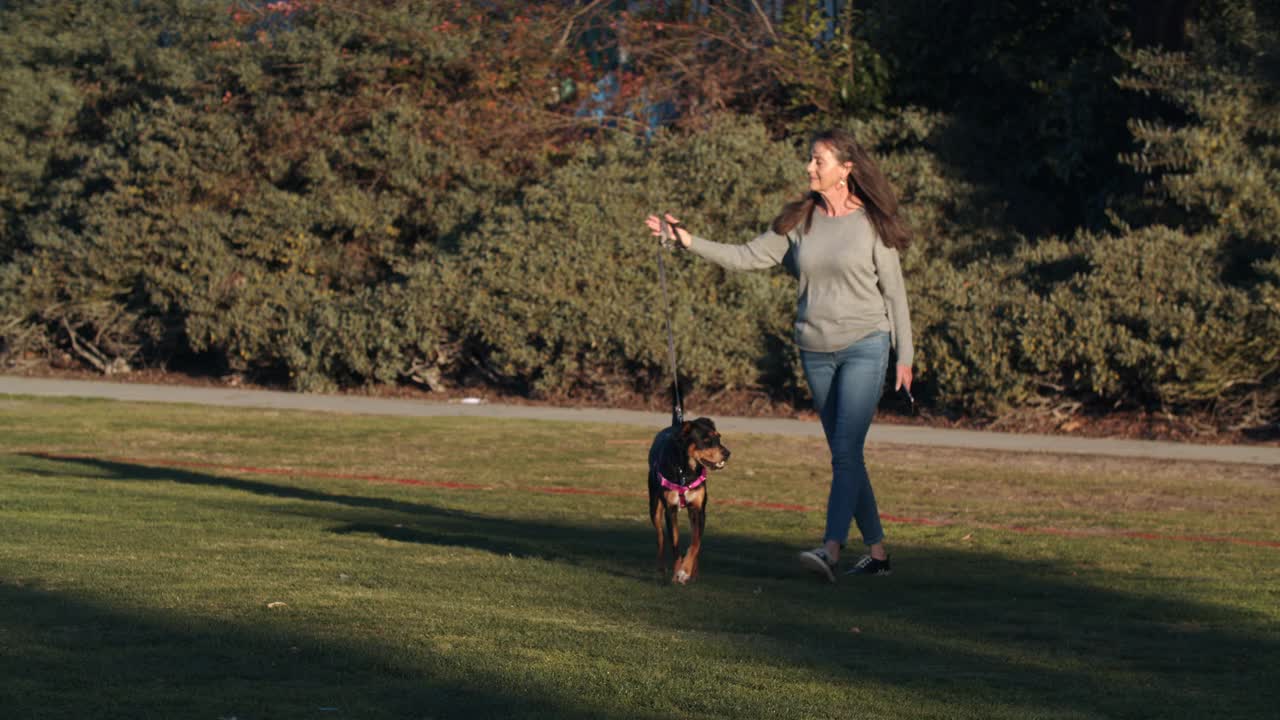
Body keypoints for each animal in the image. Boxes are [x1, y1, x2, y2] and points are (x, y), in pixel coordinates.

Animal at [650, 417, 732, 579]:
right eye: (706, 440)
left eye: (718, 437)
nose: (727, 453)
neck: (686, 471)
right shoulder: (670, 510)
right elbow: (675, 544)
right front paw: (677, 572)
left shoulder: (698, 510)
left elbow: (695, 543)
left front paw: (686, 571)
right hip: (654, 507)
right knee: (660, 536)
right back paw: (661, 567)